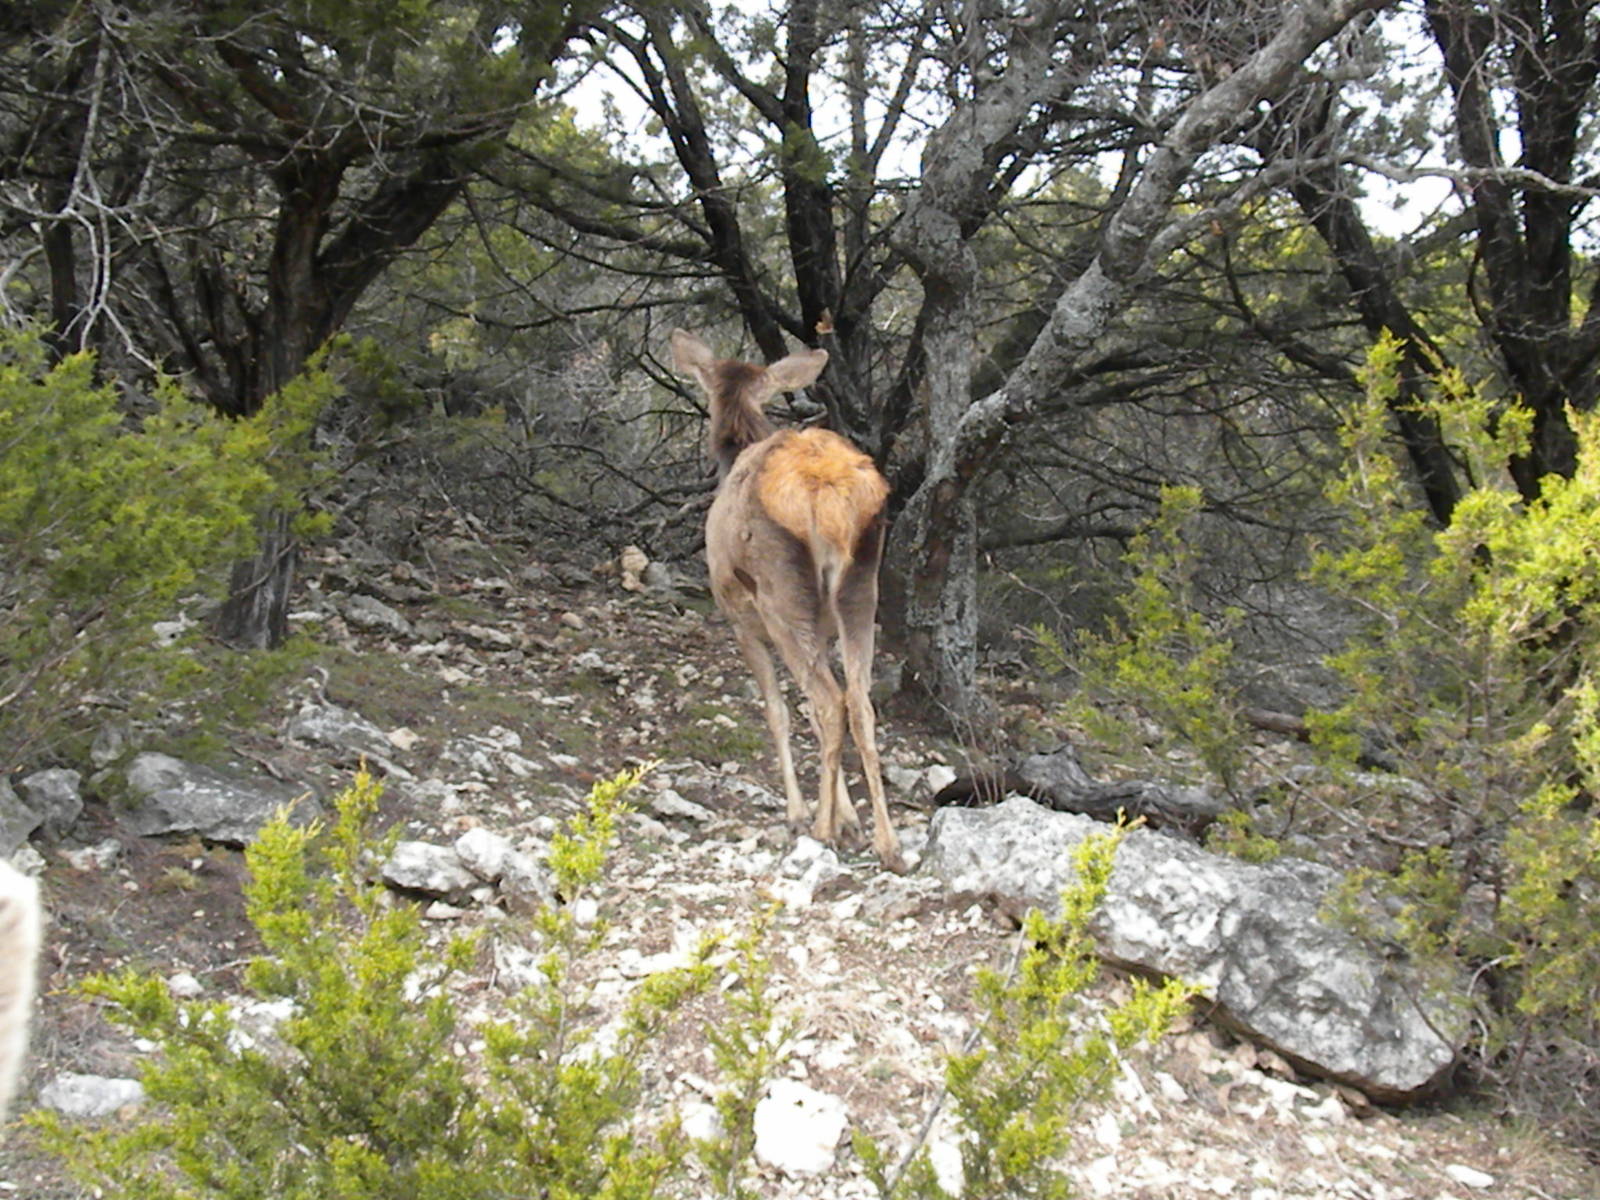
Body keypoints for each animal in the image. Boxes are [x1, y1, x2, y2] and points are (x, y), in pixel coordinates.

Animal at [671, 329, 907, 874]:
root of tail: (827, 495)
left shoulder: (739, 619)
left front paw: (809, 814)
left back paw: (819, 831)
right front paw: (849, 817)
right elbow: (817, 720)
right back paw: (888, 843)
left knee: (828, 699)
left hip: (780, 595)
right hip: (860, 588)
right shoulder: (823, 627)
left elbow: (779, 712)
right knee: (857, 701)